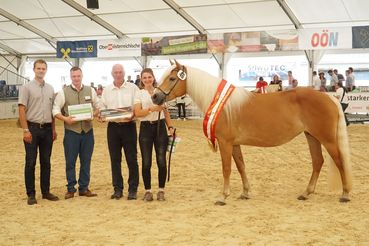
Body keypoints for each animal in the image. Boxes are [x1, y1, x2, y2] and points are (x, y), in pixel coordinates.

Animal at [152, 60, 350, 206]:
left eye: (172, 78)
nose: (155, 97)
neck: (221, 103)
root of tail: (329, 97)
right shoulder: (234, 144)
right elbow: (241, 166)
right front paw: (245, 192)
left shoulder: (225, 143)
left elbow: (226, 168)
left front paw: (223, 196)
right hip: (312, 137)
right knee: (318, 161)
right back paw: (306, 193)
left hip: (327, 139)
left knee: (339, 161)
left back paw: (345, 194)